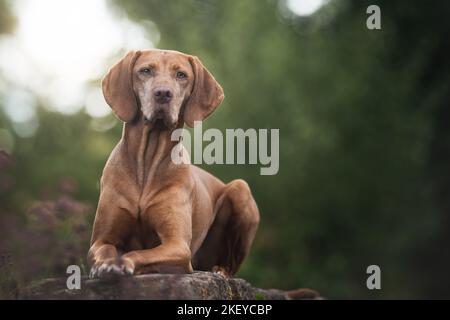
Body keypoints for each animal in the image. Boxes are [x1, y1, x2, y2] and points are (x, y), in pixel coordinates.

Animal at [88, 49, 260, 278]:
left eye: (181, 75)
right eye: (145, 71)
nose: (163, 93)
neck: (147, 161)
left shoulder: (177, 246)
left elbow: (142, 253)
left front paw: (122, 262)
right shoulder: (100, 240)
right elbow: (105, 249)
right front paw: (107, 263)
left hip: (240, 189)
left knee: (231, 266)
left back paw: (220, 270)